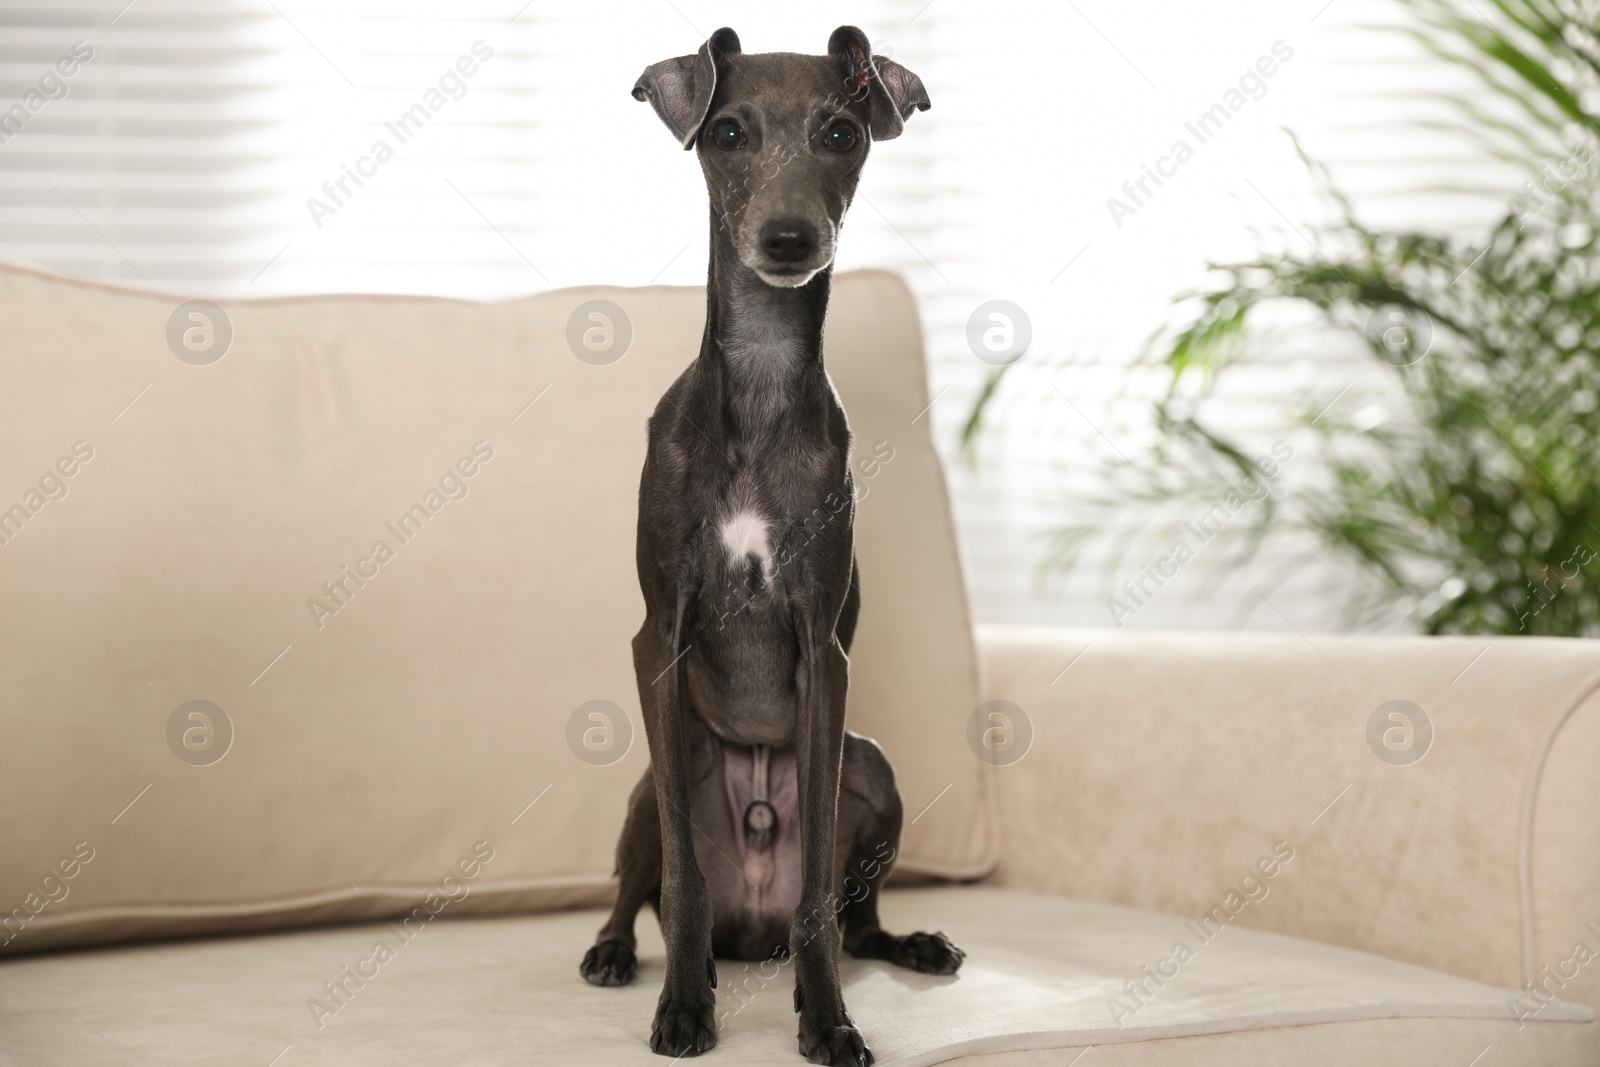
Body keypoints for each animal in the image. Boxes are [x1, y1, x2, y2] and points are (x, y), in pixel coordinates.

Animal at [585, 22, 966, 1067]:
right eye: (727, 131)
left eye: (841, 132)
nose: (789, 239)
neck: (757, 387)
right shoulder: (656, 636)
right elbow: (680, 874)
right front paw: (683, 1005)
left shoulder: (822, 651)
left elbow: (818, 899)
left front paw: (827, 1018)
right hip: (652, 779)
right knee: (641, 888)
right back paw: (621, 954)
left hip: (872, 765)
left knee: (852, 914)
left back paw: (909, 942)